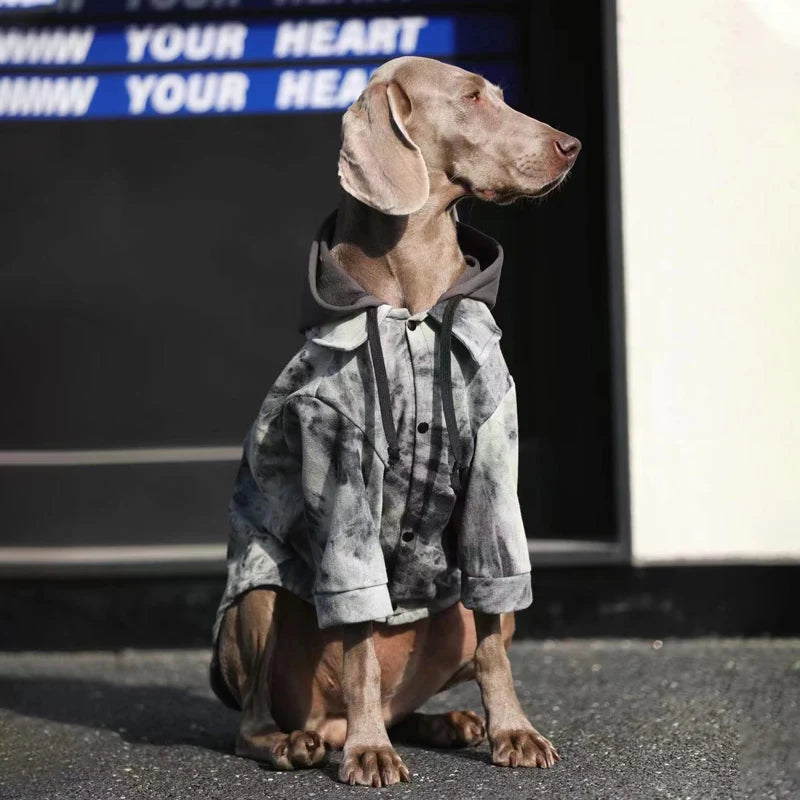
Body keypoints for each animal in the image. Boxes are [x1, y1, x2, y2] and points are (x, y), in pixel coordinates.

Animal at [212, 54, 580, 788]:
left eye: (498, 94)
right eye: (472, 97)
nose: (572, 145)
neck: (415, 301)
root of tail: (322, 719)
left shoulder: (494, 463)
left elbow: (495, 638)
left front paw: (513, 731)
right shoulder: (341, 468)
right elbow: (358, 640)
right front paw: (369, 751)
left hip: (453, 614)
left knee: (442, 667)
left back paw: (446, 721)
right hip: (259, 597)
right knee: (256, 719)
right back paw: (307, 742)